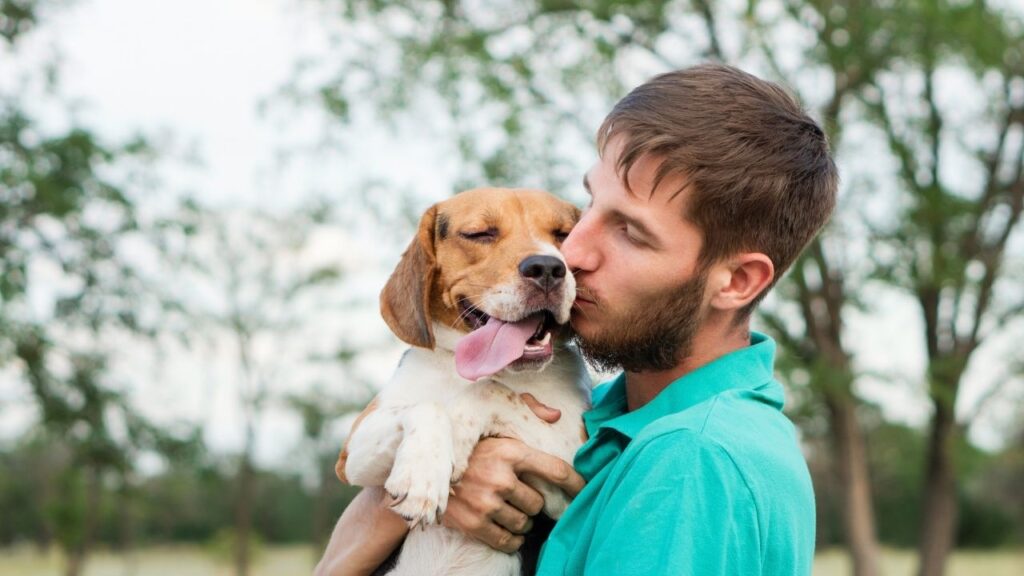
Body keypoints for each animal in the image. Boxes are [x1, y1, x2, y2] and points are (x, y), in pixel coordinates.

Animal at [335, 188, 593, 573]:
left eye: (563, 234)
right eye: (480, 233)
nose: (547, 268)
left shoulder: (571, 470)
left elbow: (488, 392)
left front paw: (455, 440)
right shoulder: (352, 452)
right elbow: (427, 405)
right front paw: (422, 475)